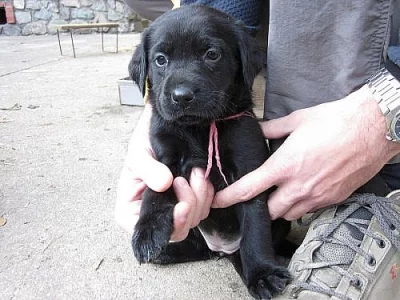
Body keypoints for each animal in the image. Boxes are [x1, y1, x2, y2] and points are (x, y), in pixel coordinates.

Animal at [130, 5, 290, 300]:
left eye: (212, 54)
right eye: (160, 60)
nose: (182, 96)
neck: (200, 129)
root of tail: (222, 250)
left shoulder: (249, 172)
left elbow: (255, 228)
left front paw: (262, 273)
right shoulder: (164, 158)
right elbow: (155, 193)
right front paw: (147, 232)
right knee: (199, 248)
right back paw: (168, 251)